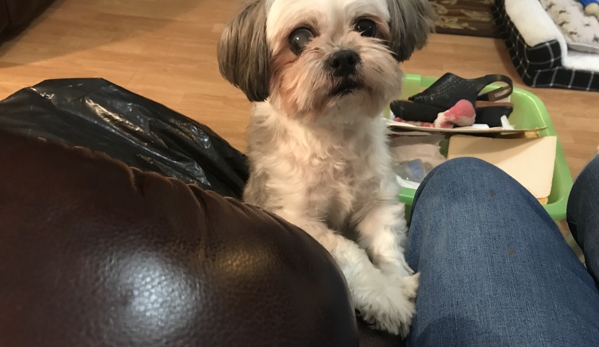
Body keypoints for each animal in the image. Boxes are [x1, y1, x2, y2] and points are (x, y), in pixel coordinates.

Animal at [218, 0, 434, 338]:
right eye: (299, 39)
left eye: (366, 27)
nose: (344, 56)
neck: (334, 131)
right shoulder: (299, 219)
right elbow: (349, 251)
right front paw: (385, 298)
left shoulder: (379, 202)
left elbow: (386, 245)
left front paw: (398, 282)